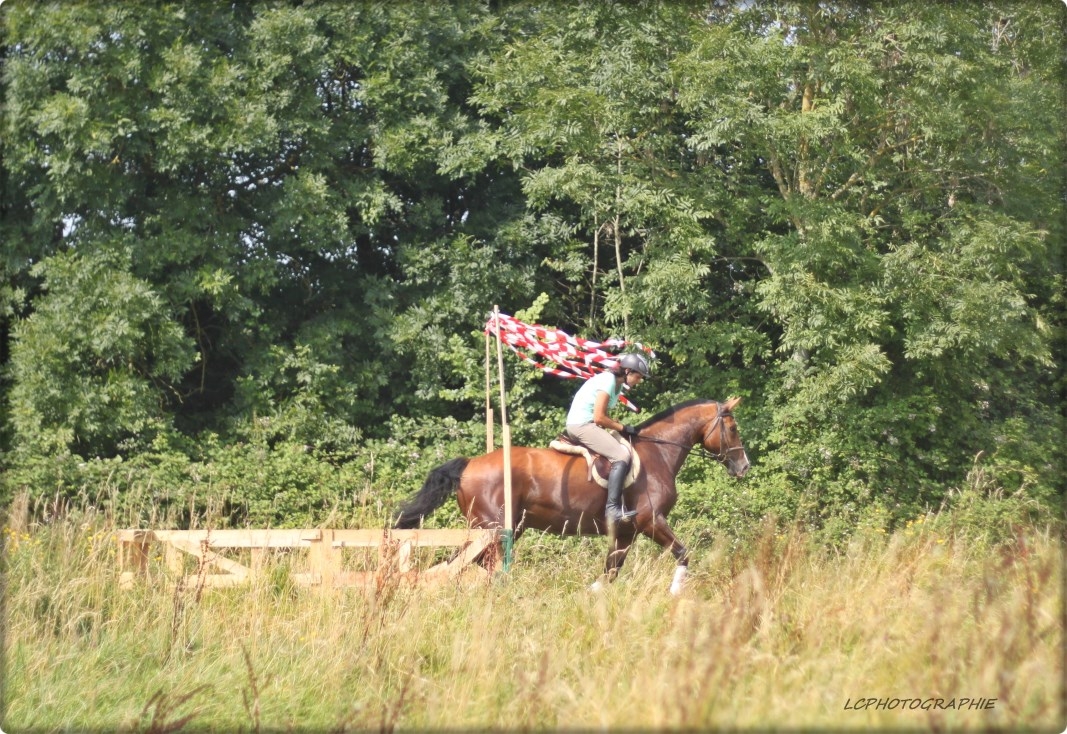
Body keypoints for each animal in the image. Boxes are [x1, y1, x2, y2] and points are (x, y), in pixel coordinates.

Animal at [394, 397, 749, 594]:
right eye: (733, 429)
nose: (743, 466)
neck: (657, 454)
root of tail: (470, 463)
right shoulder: (651, 521)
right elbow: (683, 553)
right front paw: (676, 593)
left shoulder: (626, 531)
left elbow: (611, 569)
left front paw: (591, 594)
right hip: (494, 529)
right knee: (475, 563)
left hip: (499, 529)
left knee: (467, 561)